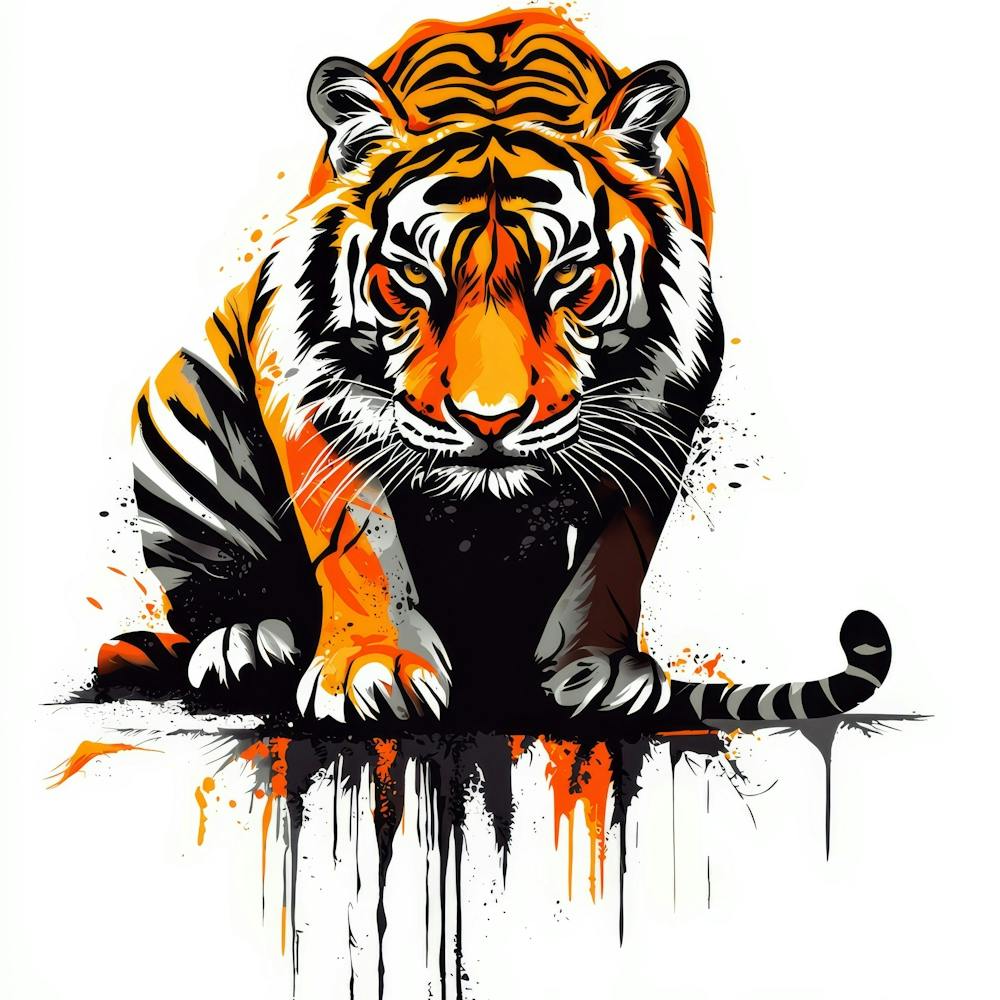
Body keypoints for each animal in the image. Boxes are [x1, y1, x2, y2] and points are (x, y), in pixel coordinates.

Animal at [95, 8, 891, 731]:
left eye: (568, 277)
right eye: (413, 278)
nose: (490, 421)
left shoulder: (666, 393)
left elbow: (618, 550)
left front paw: (596, 668)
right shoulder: (303, 373)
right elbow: (357, 538)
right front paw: (374, 667)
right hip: (181, 397)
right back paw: (248, 642)